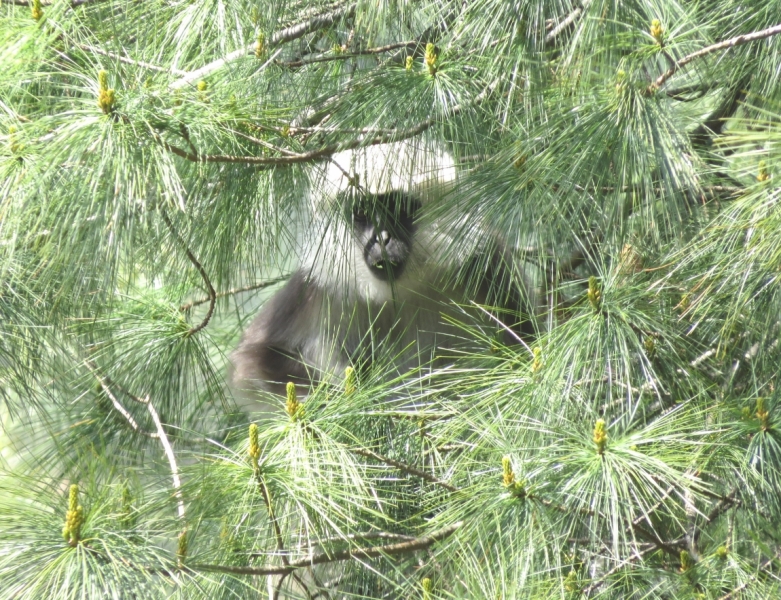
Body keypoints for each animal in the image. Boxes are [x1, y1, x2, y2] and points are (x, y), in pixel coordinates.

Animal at [232, 140, 536, 394]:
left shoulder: (483, 258)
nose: (381, 238)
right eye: (362, 213)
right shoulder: (319, 286)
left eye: (398, 208)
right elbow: (256, 358)